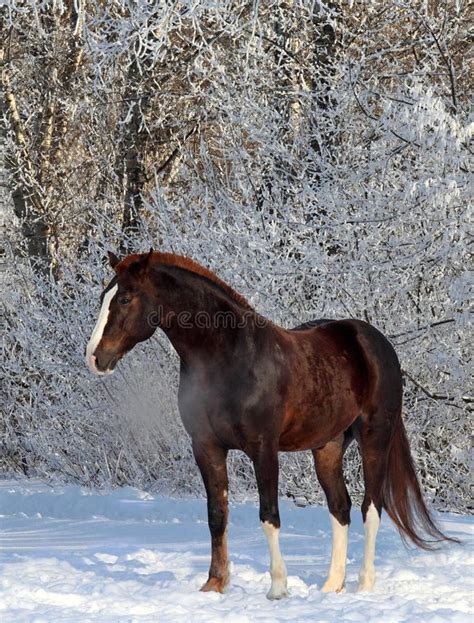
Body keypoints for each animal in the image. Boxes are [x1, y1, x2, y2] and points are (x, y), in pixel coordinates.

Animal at [85, 249, 456, 600]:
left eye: (125, 298)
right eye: (104, 295)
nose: (95, 358)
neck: (230, 358)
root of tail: (374, 341)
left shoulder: (263, 448)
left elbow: (269, 515)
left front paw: (278, 588)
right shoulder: (206, 446)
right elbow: (216, 515)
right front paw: (214, 584)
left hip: (374, 438)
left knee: (372, 508)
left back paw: (364, 584)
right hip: (328, 447)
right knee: (340, 508)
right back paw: (331, 586)